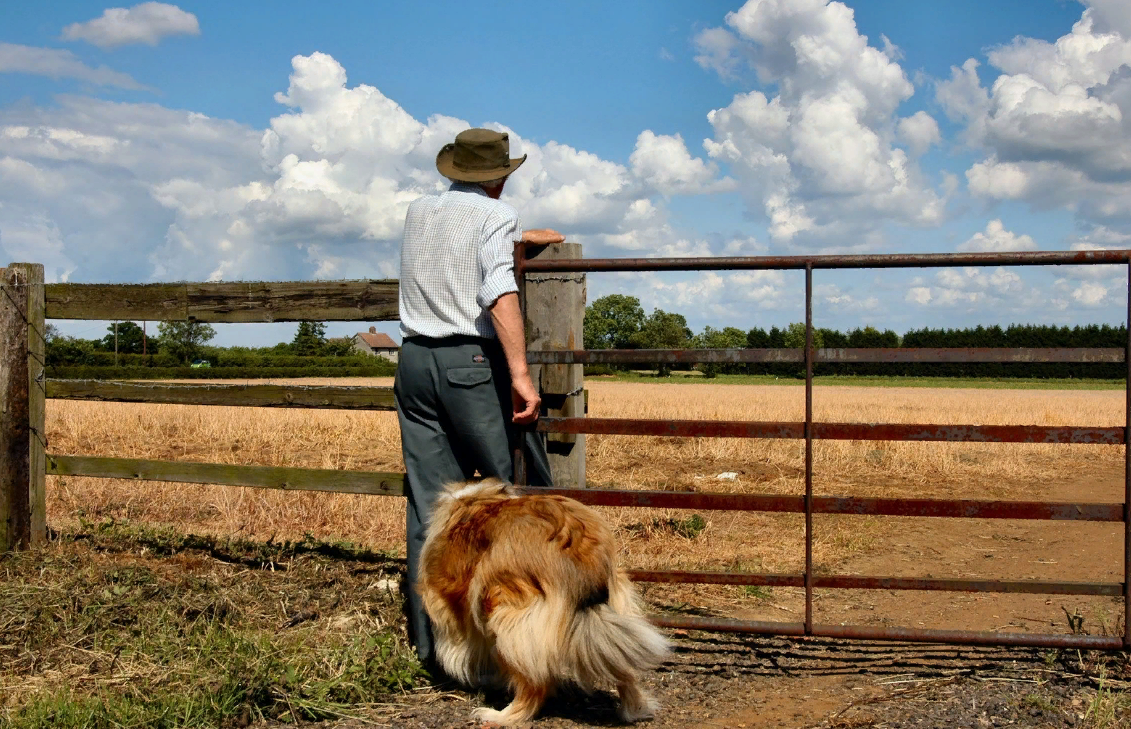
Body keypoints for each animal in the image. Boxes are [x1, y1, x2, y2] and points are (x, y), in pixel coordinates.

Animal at [422, 476, 669, 723]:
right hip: (617, 610)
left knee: (534, 683)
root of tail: (577, 546)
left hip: (507, 614)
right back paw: (634, 709)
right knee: (623, 668)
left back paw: (502, 715)